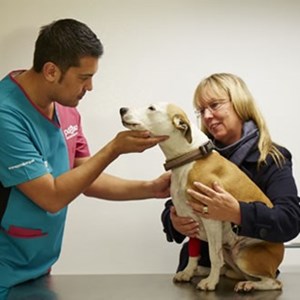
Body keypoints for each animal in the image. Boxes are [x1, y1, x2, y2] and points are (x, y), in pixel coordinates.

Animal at [119, 102, 284, 292]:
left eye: (151, 108)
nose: (122, 109)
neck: (189, 157)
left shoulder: (211, 218)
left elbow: (213, 256)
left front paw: (210, 282)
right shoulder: (190, 221)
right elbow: (193, 252)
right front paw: (188, 272)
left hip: (245, 256)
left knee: (273, 282)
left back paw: (247, 284)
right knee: (228, 268)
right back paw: (204, 270)